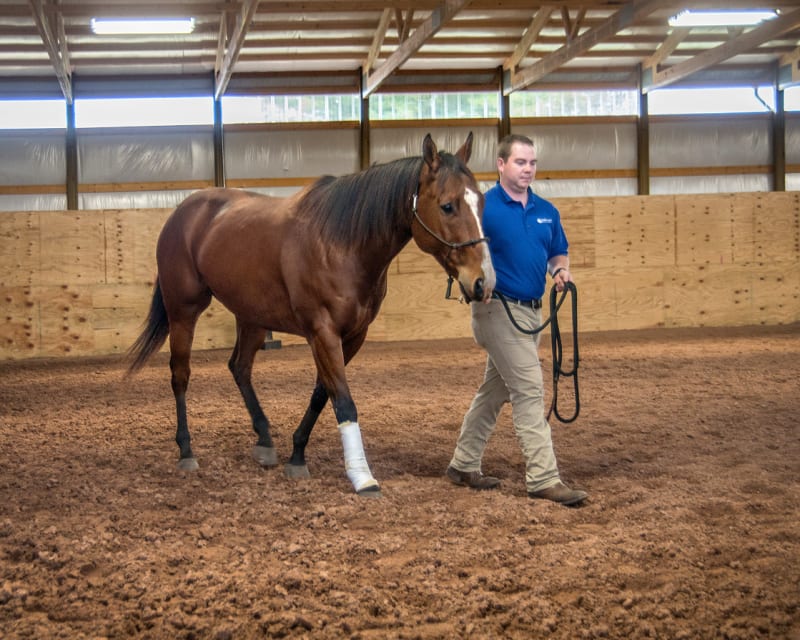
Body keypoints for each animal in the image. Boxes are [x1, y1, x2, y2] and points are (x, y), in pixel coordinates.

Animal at [126, 132, 494, 498]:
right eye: (448, 205)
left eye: (481, 203)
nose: (483, 281)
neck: (342, 243)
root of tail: (184, 210)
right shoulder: (323, 332)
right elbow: (343, 400)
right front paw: (362, 477)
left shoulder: (352, 336)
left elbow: (322, 394)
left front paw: (297, 454)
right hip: (183, 311)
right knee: (180, 374)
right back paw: (186, 450)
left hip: (252, 317)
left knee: (240, 368)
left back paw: (264, 440)